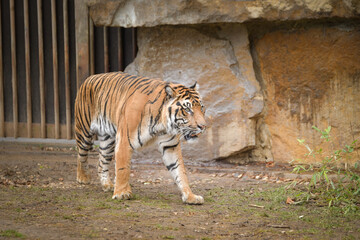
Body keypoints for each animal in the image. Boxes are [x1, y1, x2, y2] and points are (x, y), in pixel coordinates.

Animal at [74, 71, 207, 204]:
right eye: (187, 109)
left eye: (201, 108)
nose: (203, 126)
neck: (161, 124)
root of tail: (90, 77)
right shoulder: (124, 142)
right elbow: (123, 169)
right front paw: (122, 193)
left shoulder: (170, 146)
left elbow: (180, 171)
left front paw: (190, 196)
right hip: (84, 131)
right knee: (81, 154)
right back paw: (83, 178)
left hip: (108, 141)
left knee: (101, 162)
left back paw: (107, 185)